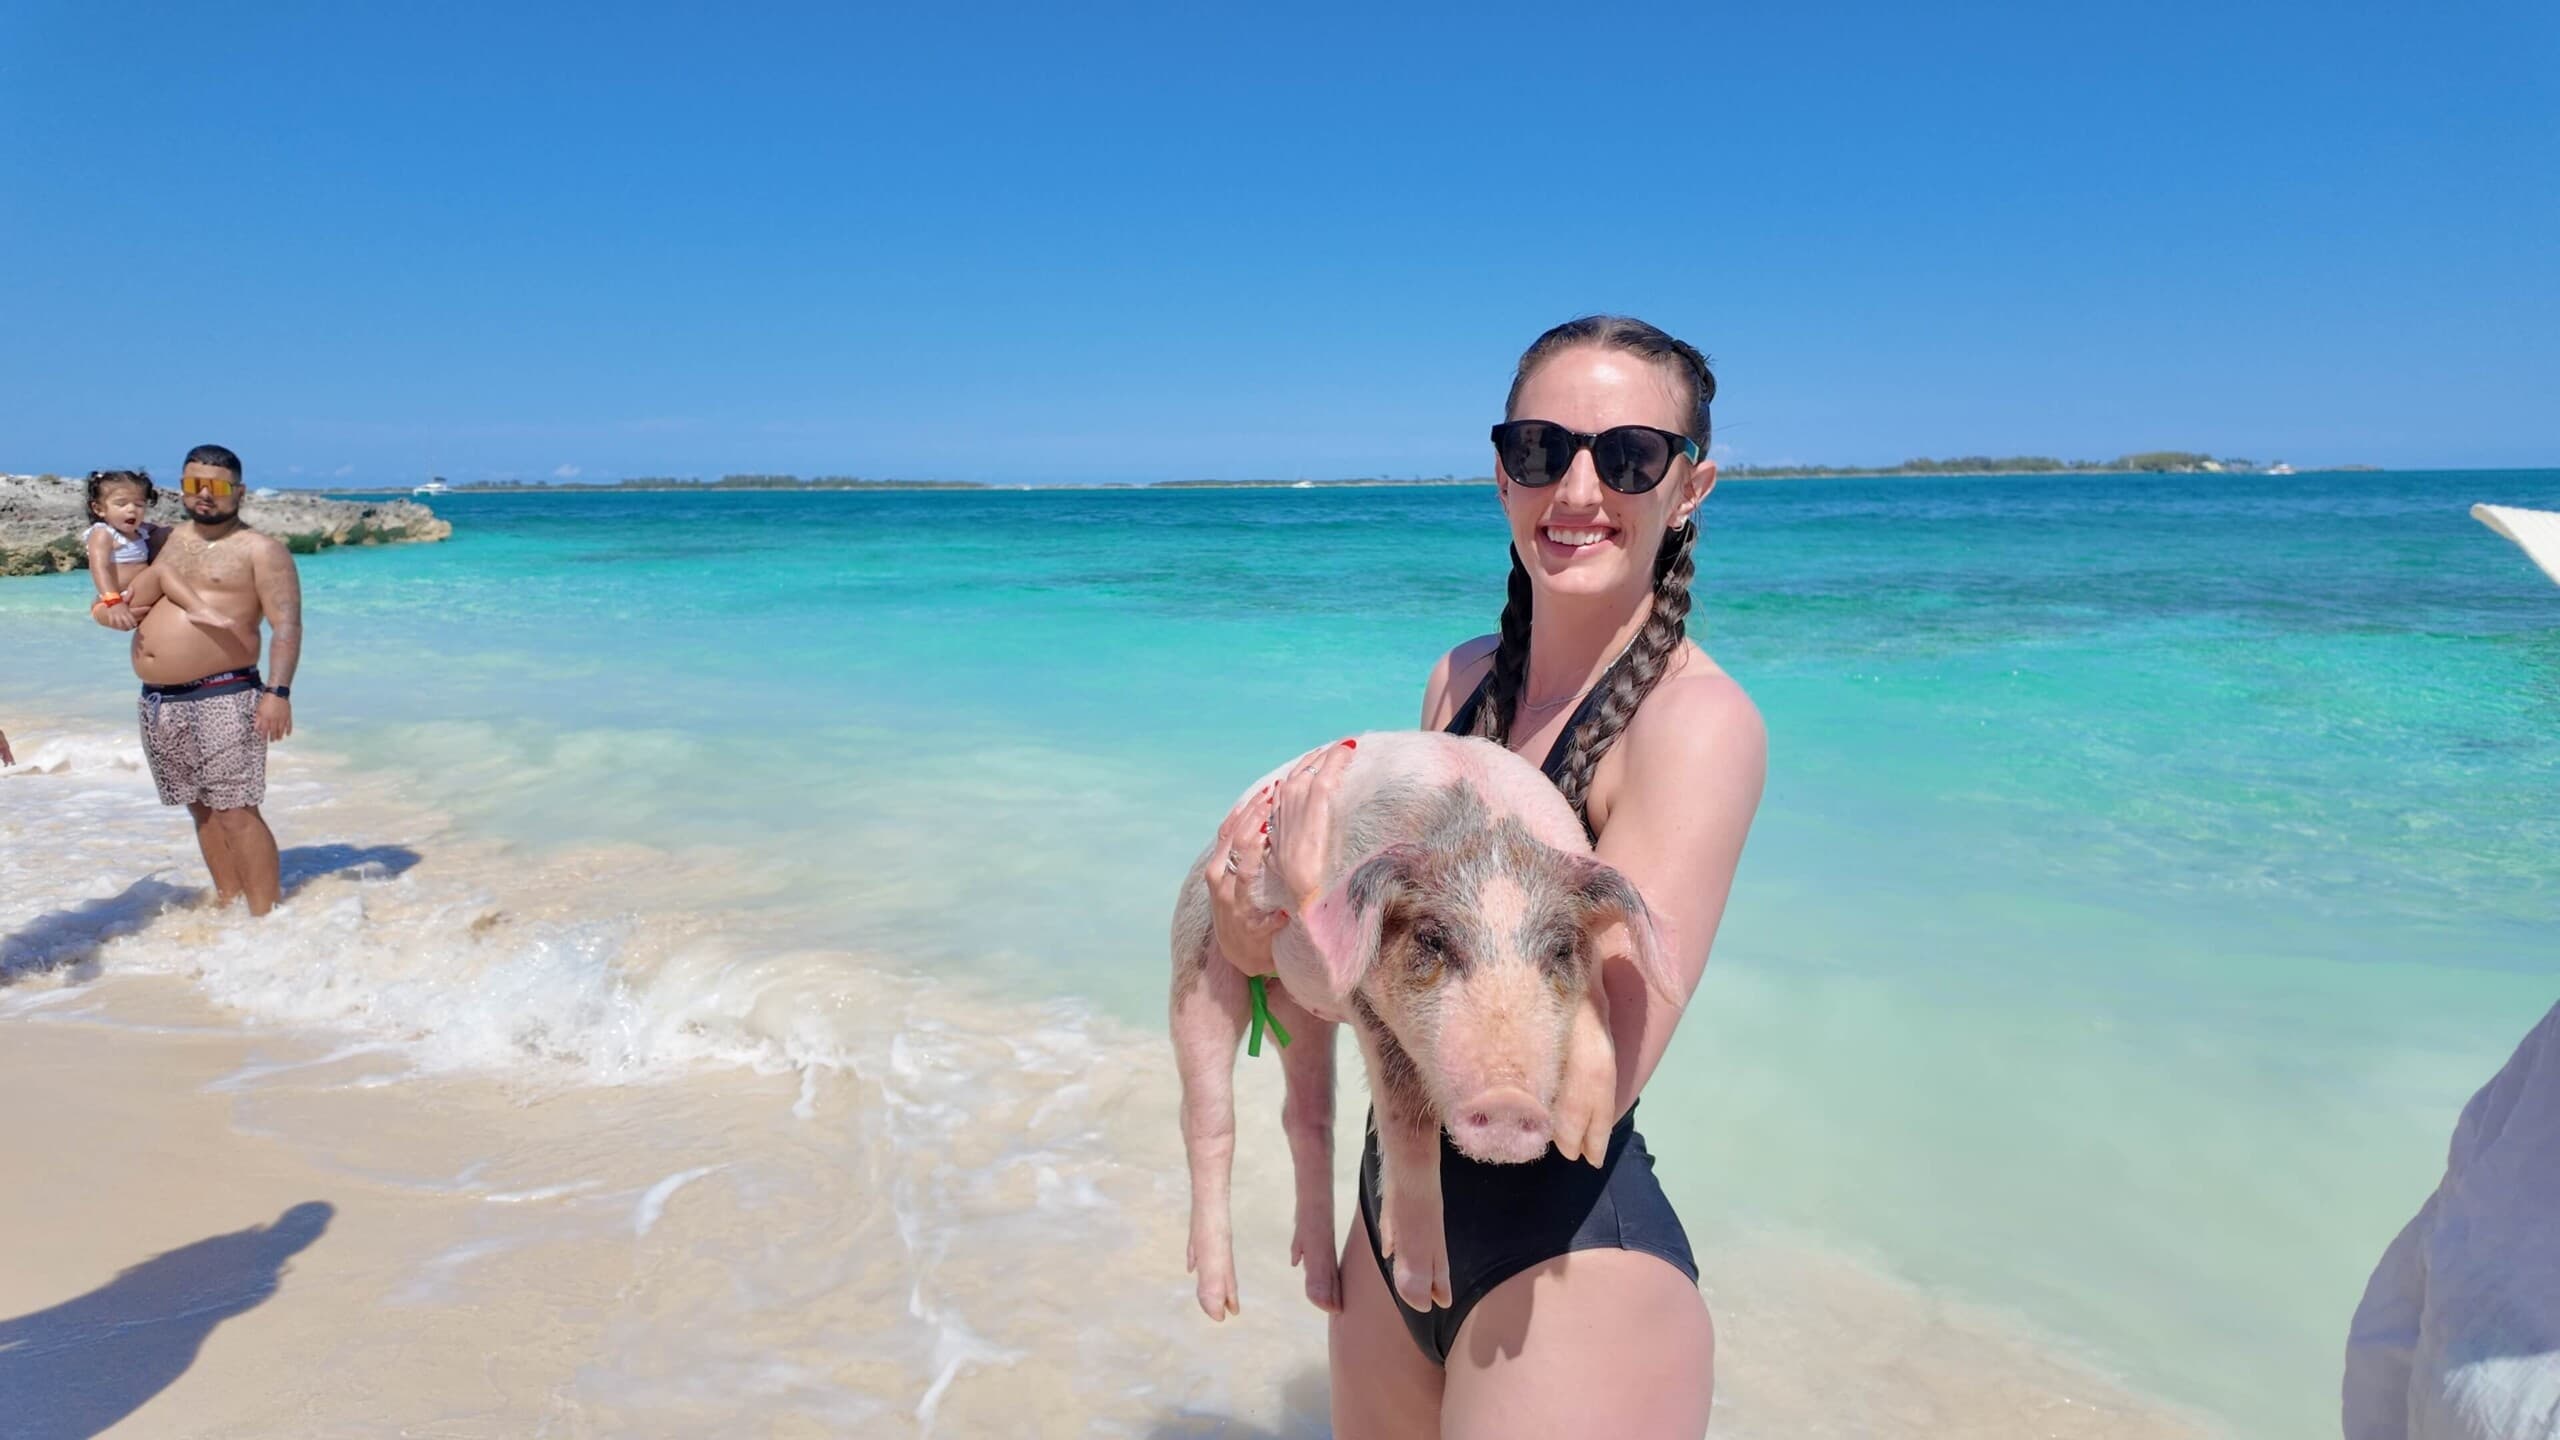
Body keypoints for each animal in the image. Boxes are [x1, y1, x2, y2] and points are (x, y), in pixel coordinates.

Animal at [1169, 730, 1678, 1319]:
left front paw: (1583, 1143)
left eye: (1559, 949)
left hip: (1302, 1014)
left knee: (1307, 1120)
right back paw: (1220, 1303)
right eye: (1433, 938)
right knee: (1208, 1121)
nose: (1510, 1099)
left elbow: (1598, 1000)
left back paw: (1324, 1294)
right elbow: (1406, 1115)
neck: (1487, 827)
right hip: (1197, 959)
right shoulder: (1364, 998)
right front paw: (1426, 1293)